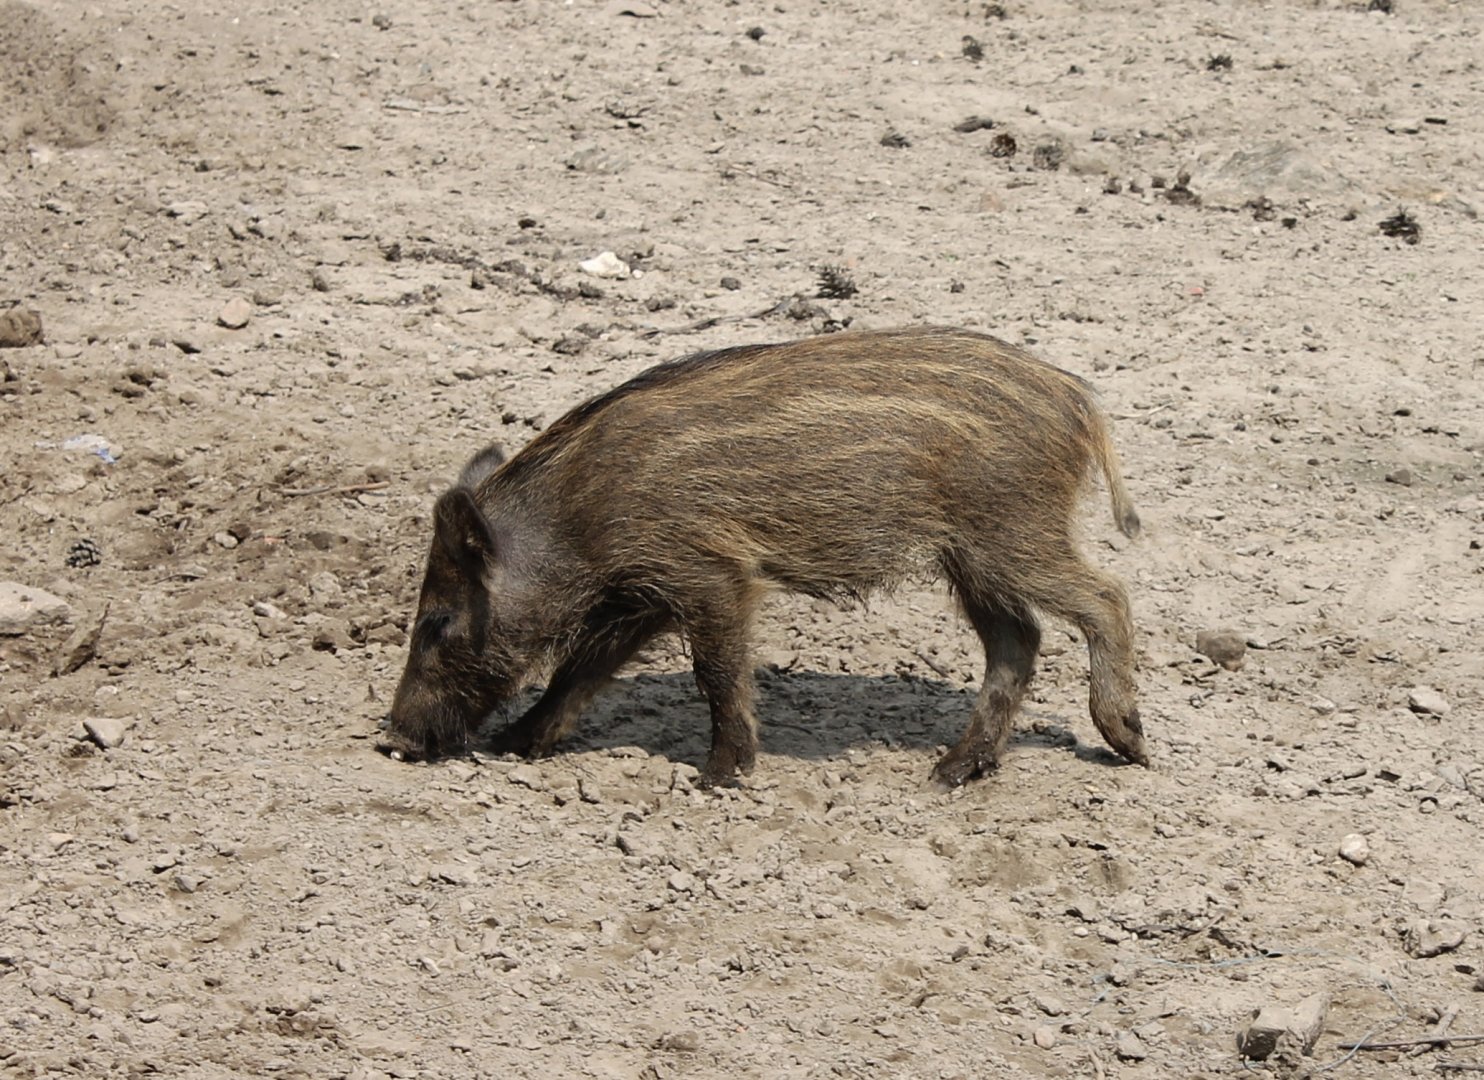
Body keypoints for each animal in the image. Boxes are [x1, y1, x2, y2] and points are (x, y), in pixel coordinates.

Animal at [378, 326, 1147, 787]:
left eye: (437, 622)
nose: (395, 742)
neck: (574, 517)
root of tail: (1078, 398)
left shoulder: (709, 573)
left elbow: (716, 673)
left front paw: (719, 774)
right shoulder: (642, 595)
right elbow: (578, 671)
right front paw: (518, 743)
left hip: (1007, 532)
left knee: (1106, 594)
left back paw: (1129, 742)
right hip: (972, 556)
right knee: (1019, 640)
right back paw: (950, 771)